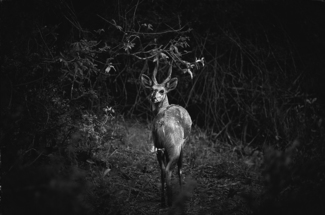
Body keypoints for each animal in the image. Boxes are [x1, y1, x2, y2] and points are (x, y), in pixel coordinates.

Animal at [140, 58, 191, 207]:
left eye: (162, 90)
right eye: (152, 89)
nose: (153, 97)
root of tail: (161, 124)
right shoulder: (183, 144)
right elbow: (180, 168)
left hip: (158, 147)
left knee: (162, 170)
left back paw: (163, 201)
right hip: (173, 147)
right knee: (169, 170)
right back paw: (172, 201)